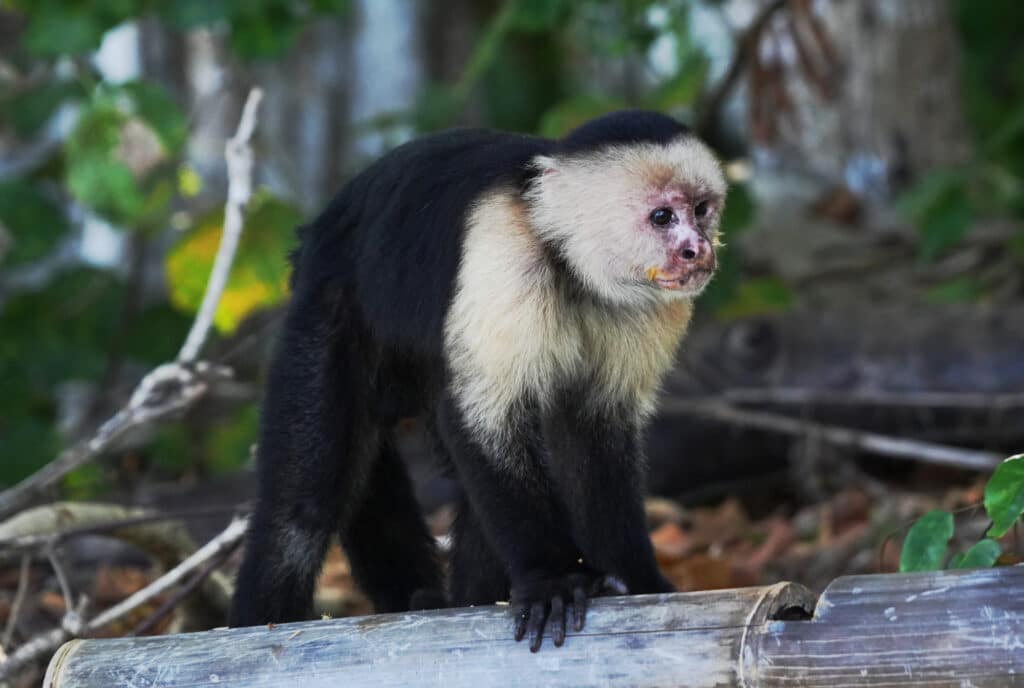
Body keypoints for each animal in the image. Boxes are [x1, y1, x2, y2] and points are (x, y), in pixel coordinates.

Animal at [229, 110, 726, 652]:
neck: (567, 260)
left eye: (702, 210)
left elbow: (596, 431)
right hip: (327, 304)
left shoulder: (649, 306)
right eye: (662, 217)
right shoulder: (504, 251)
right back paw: (252, 628)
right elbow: (484, 414)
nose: (698, 250)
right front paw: (552, 579)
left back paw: (467, 603)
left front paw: (634, 581)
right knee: (302, 509)